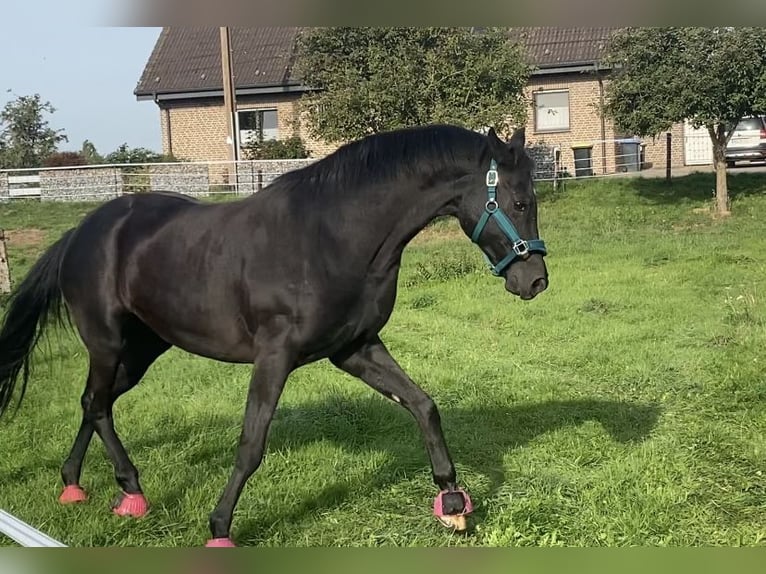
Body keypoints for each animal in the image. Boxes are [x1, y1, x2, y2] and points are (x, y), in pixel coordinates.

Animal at [0, 124, 548, 546]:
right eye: (521, 201)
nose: (536, 281)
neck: (333, 236)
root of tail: (82, 232)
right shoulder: (275, 355)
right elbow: (252, 441)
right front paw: (220, 527)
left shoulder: (354, 348)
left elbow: (423, 405)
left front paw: (452, 502)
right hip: (107, 343)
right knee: (97, 405)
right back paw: (132, 490)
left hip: (142, 350)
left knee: (95, 402)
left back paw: (75, 484)